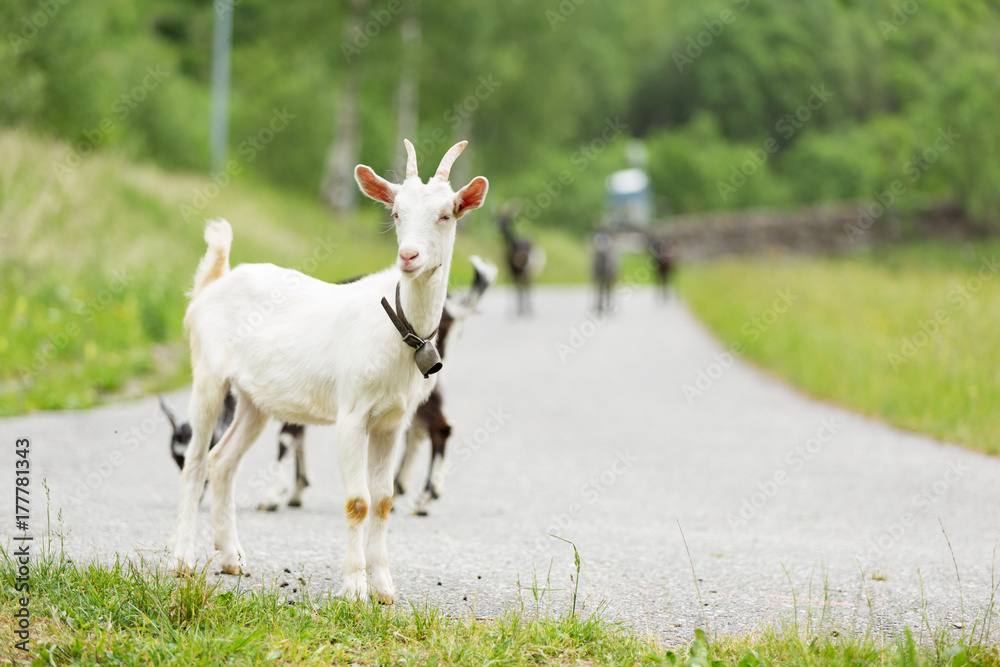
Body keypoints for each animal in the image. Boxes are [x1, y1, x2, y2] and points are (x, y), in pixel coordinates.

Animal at [174, 140, 488, 604]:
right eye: (396, 212)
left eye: (446, 214)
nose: (408, 256)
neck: (398, 326)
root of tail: (214, 284)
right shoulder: (352, 416)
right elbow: (358, 501)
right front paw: (355, 589)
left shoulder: (391, 422)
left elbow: (384, 499)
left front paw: (384, 589)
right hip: (209, 376)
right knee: (195, 461)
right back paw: (182, 559)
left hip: (254, 400)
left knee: (222, 460)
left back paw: (232, 558)